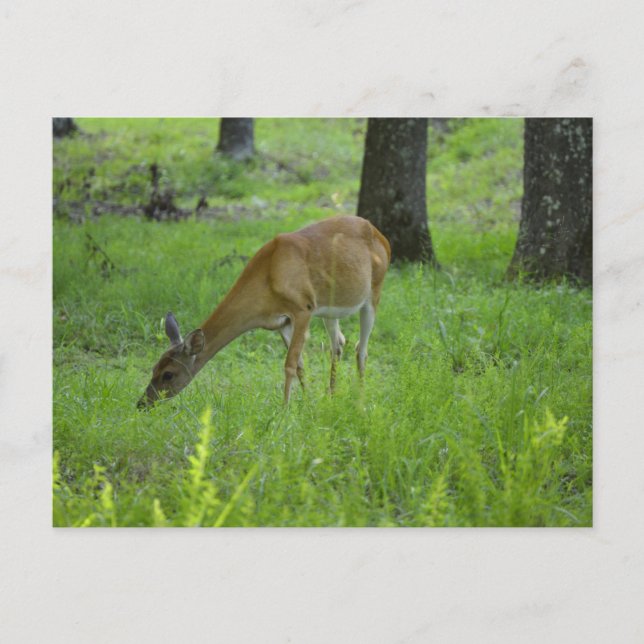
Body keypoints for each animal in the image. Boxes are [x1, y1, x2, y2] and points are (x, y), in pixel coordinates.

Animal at [137, 215, 390, 408]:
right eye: (153, 367)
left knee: (361, 349)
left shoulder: (303, 308)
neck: (269, 277)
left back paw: (360, 401)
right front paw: (308, 403)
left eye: (168, 373)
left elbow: (289, 364)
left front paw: (285, 410)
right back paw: (331, 395)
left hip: (374, 293)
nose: (142, 403)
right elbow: (300, 364)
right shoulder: (282, 322)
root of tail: (382, 237)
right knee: (338, 343)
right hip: (331, 309)